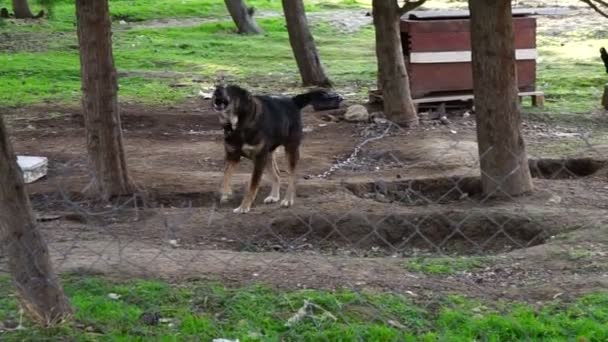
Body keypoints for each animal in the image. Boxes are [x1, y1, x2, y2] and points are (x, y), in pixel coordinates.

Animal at [210, 85, 332, 214]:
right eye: (219, 85)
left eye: (231, 89)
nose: (217, 89)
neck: (238, 125)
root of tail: (293, 101)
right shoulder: (232, 156)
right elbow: (225, 177)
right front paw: (226, 193)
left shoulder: (259, 159)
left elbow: (252, 185)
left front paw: (244, 206)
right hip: (268, 155)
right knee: (277, 175)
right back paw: (274, 196)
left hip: (290, 150)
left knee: (292, 176)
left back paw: (288, 200)